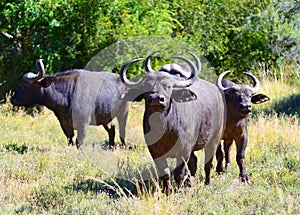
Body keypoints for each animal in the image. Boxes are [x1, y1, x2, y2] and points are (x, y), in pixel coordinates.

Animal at [119, 50, 225, 193]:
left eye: (168, 86)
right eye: (146, 85)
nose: (156, 98)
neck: (165, 128)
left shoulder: (184, 150)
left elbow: (179, 172)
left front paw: (178, 189)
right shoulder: (155, 151)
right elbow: (165, 173)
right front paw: (167, 190)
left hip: (214, 140)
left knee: (208, 163)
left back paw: (207, 183)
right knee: (194, 161)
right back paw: (190, 182)